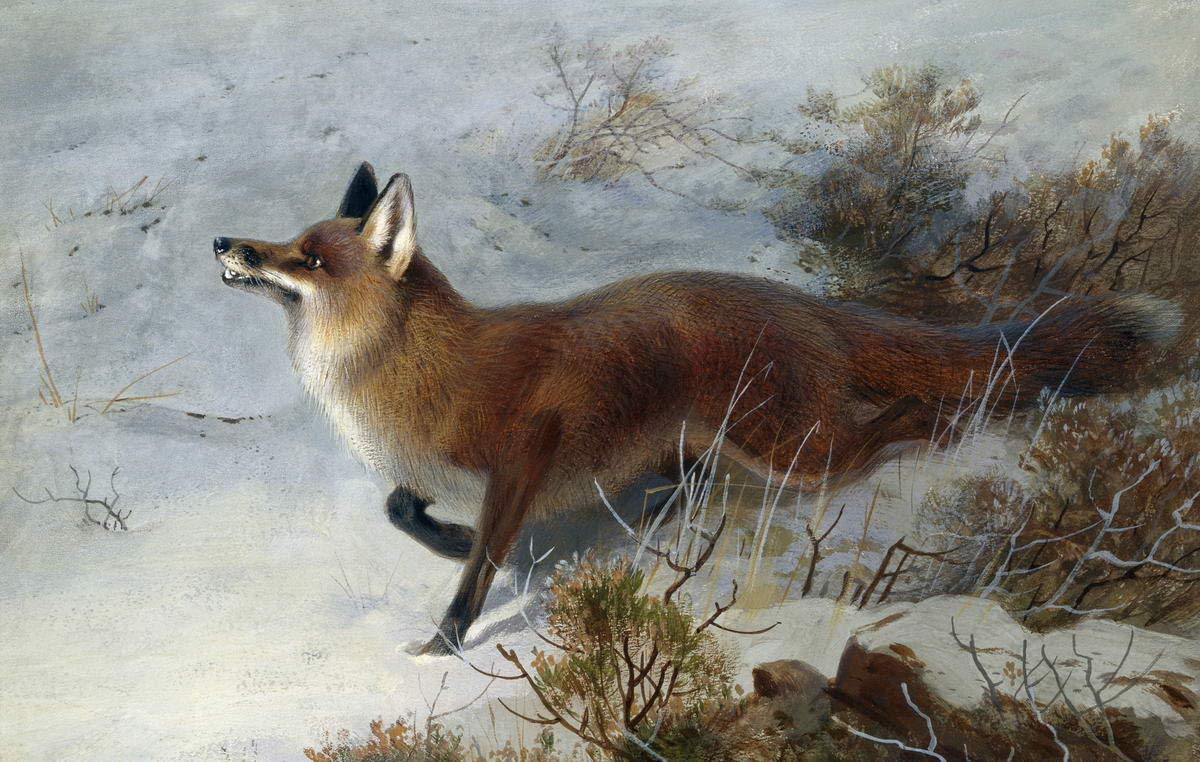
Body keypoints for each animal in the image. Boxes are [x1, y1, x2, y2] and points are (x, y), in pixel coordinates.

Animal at [214, 162, 1177, 655]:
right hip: (701, 440)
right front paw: (444, 541)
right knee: (695, 478)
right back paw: (655, 517)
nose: (225, 241)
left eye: (308, 258)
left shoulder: (524, 458)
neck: (402, 378)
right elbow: (399, 509)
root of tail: (804, 303)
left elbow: (480, 566)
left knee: (900, 421)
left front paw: (446, 639)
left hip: (794, 449)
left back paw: (944, 434)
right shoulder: (428, 472)